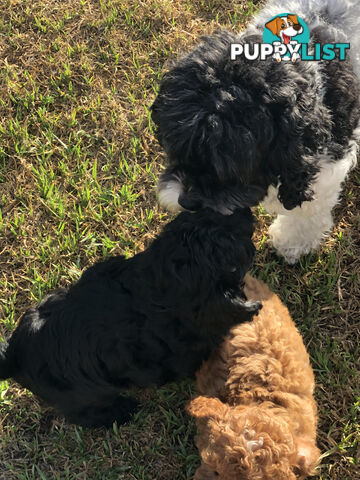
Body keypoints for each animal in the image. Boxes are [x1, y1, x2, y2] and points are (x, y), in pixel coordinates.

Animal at [0, 209, 258, 428]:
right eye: (236, 246)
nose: (246, 211)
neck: (159, 292)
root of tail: (13, 354)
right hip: (82, 396)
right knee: (85, 414)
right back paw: (122, 412)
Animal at [152, 0, 360, 262]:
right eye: (178, 147)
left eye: (232, 163)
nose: (186, 201)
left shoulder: (327, 169)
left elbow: (307, 214)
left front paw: (291, 243)